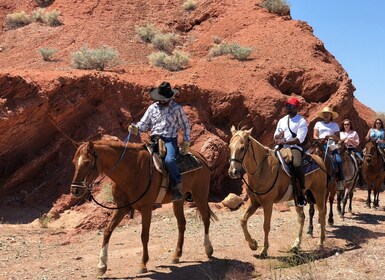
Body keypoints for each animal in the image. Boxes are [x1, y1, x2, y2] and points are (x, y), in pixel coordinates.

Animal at [69, 140, 216, 276]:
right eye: (74, 162)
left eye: (87, 163)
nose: (75, 190)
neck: (130, 171)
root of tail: (201, 157)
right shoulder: (121, 208)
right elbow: (107, 231)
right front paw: (102, 265)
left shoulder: (146, 209)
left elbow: (144, 236)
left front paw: (143, 264)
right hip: (178, 201)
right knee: (181, 224)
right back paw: (176, 255)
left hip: (200, 195)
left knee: (205, 219)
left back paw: (208, 249)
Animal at [228, 127, 328, 258]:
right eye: (229, 147)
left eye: (242, 148)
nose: (233, 172)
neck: (262, 169)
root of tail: (319, 160)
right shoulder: (254, 202)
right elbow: (243, 220)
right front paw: (253, 244)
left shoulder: (268, 204)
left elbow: (266, 226)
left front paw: (264, 250)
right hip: (299, 198)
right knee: (301, 218)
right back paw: (296, 245)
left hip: (319, 192)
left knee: (322, 213)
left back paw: (321, 242)